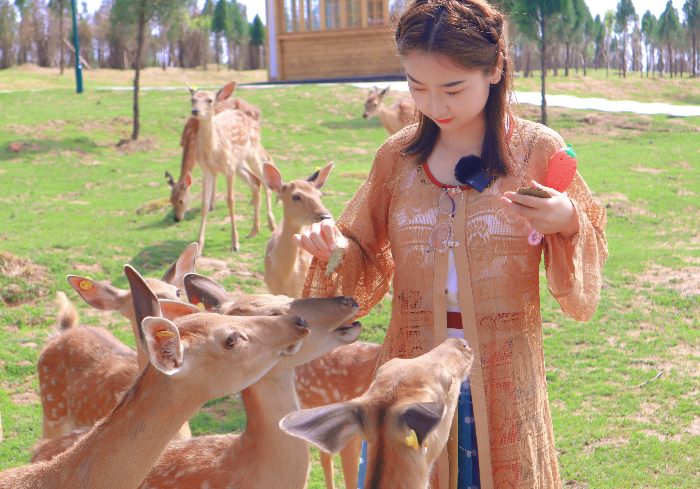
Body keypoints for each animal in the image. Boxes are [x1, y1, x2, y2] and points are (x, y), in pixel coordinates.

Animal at [189, 80, 278, 254]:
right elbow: (204, 205)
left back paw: (272, 225)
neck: (212, 150)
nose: (195, 111)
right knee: (255, 182)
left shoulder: (228, 167)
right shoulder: (207, 170)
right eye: (193, 99)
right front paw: (199, 246)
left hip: (251, 152)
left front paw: (235, 243)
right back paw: (253, 231)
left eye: (210, 100)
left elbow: (231, 201)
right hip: (239, 163)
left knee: (265, 181)